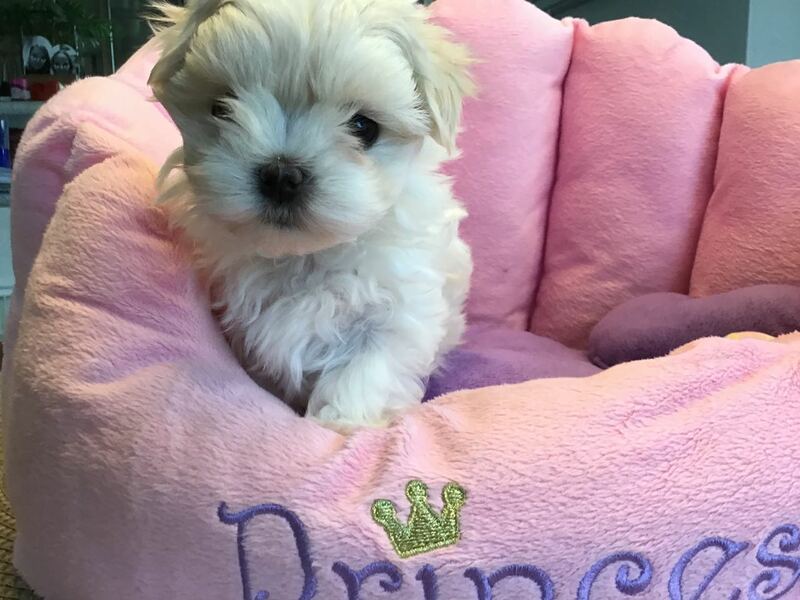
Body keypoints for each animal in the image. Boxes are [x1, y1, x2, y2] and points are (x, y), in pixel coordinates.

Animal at [148, 0, 474, 428]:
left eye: (364, 127)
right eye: (222, 108)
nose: (282, 175)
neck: (303, 258)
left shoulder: (398, 313)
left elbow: (366, 370)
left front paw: (342, 422)